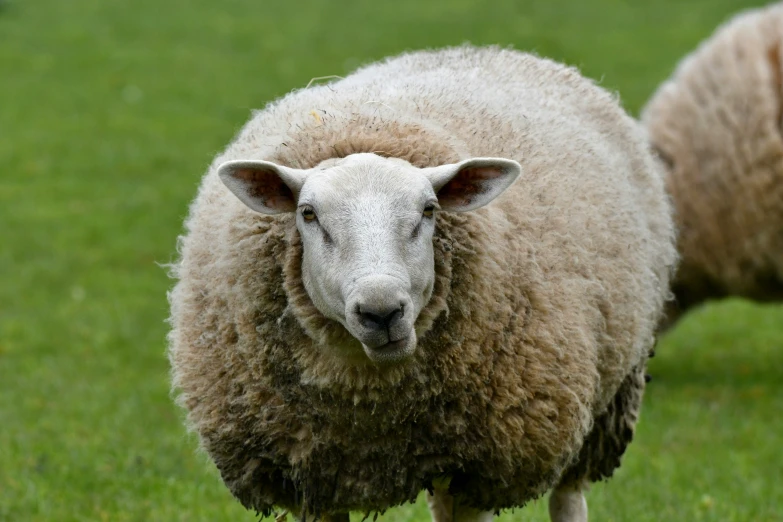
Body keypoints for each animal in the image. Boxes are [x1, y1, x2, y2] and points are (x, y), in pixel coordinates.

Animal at [168, 45, 676, 520]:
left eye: (429, 210)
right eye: (308, 214)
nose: (381, 312)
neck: (370, 405)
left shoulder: (481, 468)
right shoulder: (313, 476)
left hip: (604, 404)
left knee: (568, 496)